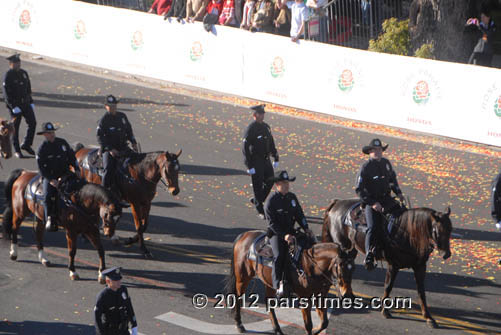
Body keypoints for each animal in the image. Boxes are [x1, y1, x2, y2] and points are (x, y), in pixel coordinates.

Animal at [225, 231, 354, 335]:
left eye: (353, 268)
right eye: (341, 266)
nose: (347, 295)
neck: (311, 265)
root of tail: (244, 235)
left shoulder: (320, 295)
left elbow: (324, 322)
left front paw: (315, 330)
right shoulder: (304, 297)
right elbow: (308, 324)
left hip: (269, 283)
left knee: (269, 304)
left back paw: (277, 329)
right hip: (243, 278)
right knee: (238, 298)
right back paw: (239, 324)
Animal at [320, 200, 454, 328]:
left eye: (450, 229)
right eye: (436, 231)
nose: (446, 254)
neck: (407, 232)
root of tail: (336, 203)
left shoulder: (420, 267)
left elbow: (421, 291)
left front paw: (428, 317)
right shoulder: (393, 265)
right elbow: (388, 286)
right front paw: (385, 311)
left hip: (351, 251)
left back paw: (350, 296)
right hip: (342, 248)